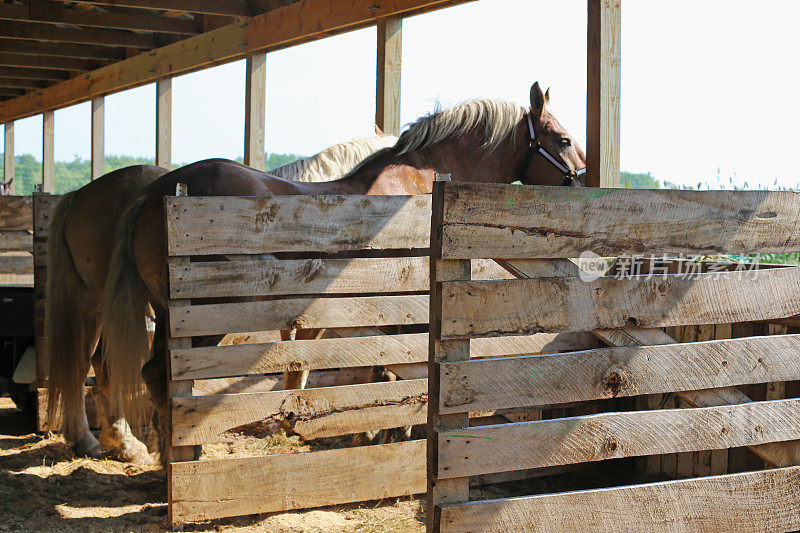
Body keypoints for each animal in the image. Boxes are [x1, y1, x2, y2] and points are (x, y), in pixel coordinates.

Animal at [100, 81, 588, 460]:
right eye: (563, 140)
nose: (586, 182)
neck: (422, 181)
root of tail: (157, 191)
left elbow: (387, 366)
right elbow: (397, 367)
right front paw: (390, 433)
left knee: (155, 376)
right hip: (202, 314)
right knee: (163, 377)